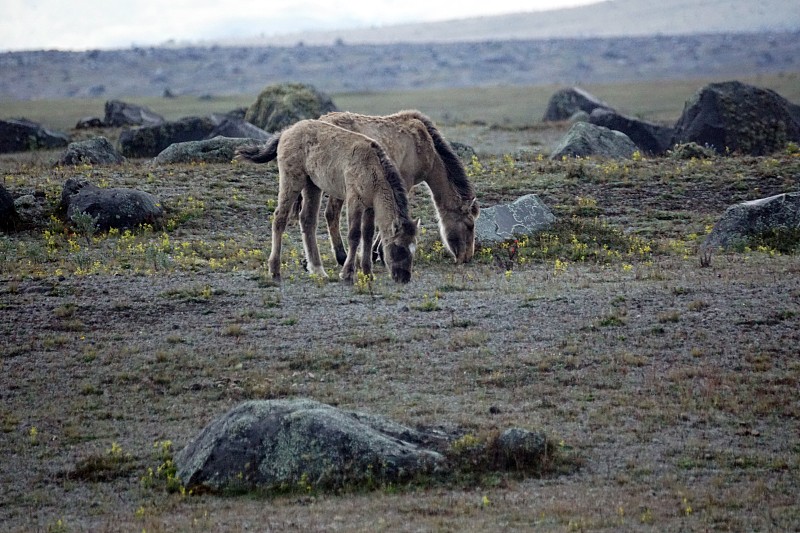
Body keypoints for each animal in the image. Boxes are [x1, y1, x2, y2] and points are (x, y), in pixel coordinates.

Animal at [234, 119, 416, 284]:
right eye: (398, 247)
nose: (404, 278)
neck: (372, 166)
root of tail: (286, 132)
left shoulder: (370, 206)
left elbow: (368, 235)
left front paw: (367, 274)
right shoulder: (354, 200)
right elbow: (354, 235)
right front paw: (347, 274)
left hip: (312, 185)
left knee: (307, 220)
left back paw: (318, 270)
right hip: (292, 180)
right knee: (280, 218)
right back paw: (275, 271)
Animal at [318, 109, 482, 264]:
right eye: (469, 225)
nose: (467, 257)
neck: (423, 142)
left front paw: (375, 253)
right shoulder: (405, 183)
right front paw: (380, 252)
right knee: (332, 214)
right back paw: (341, 256)